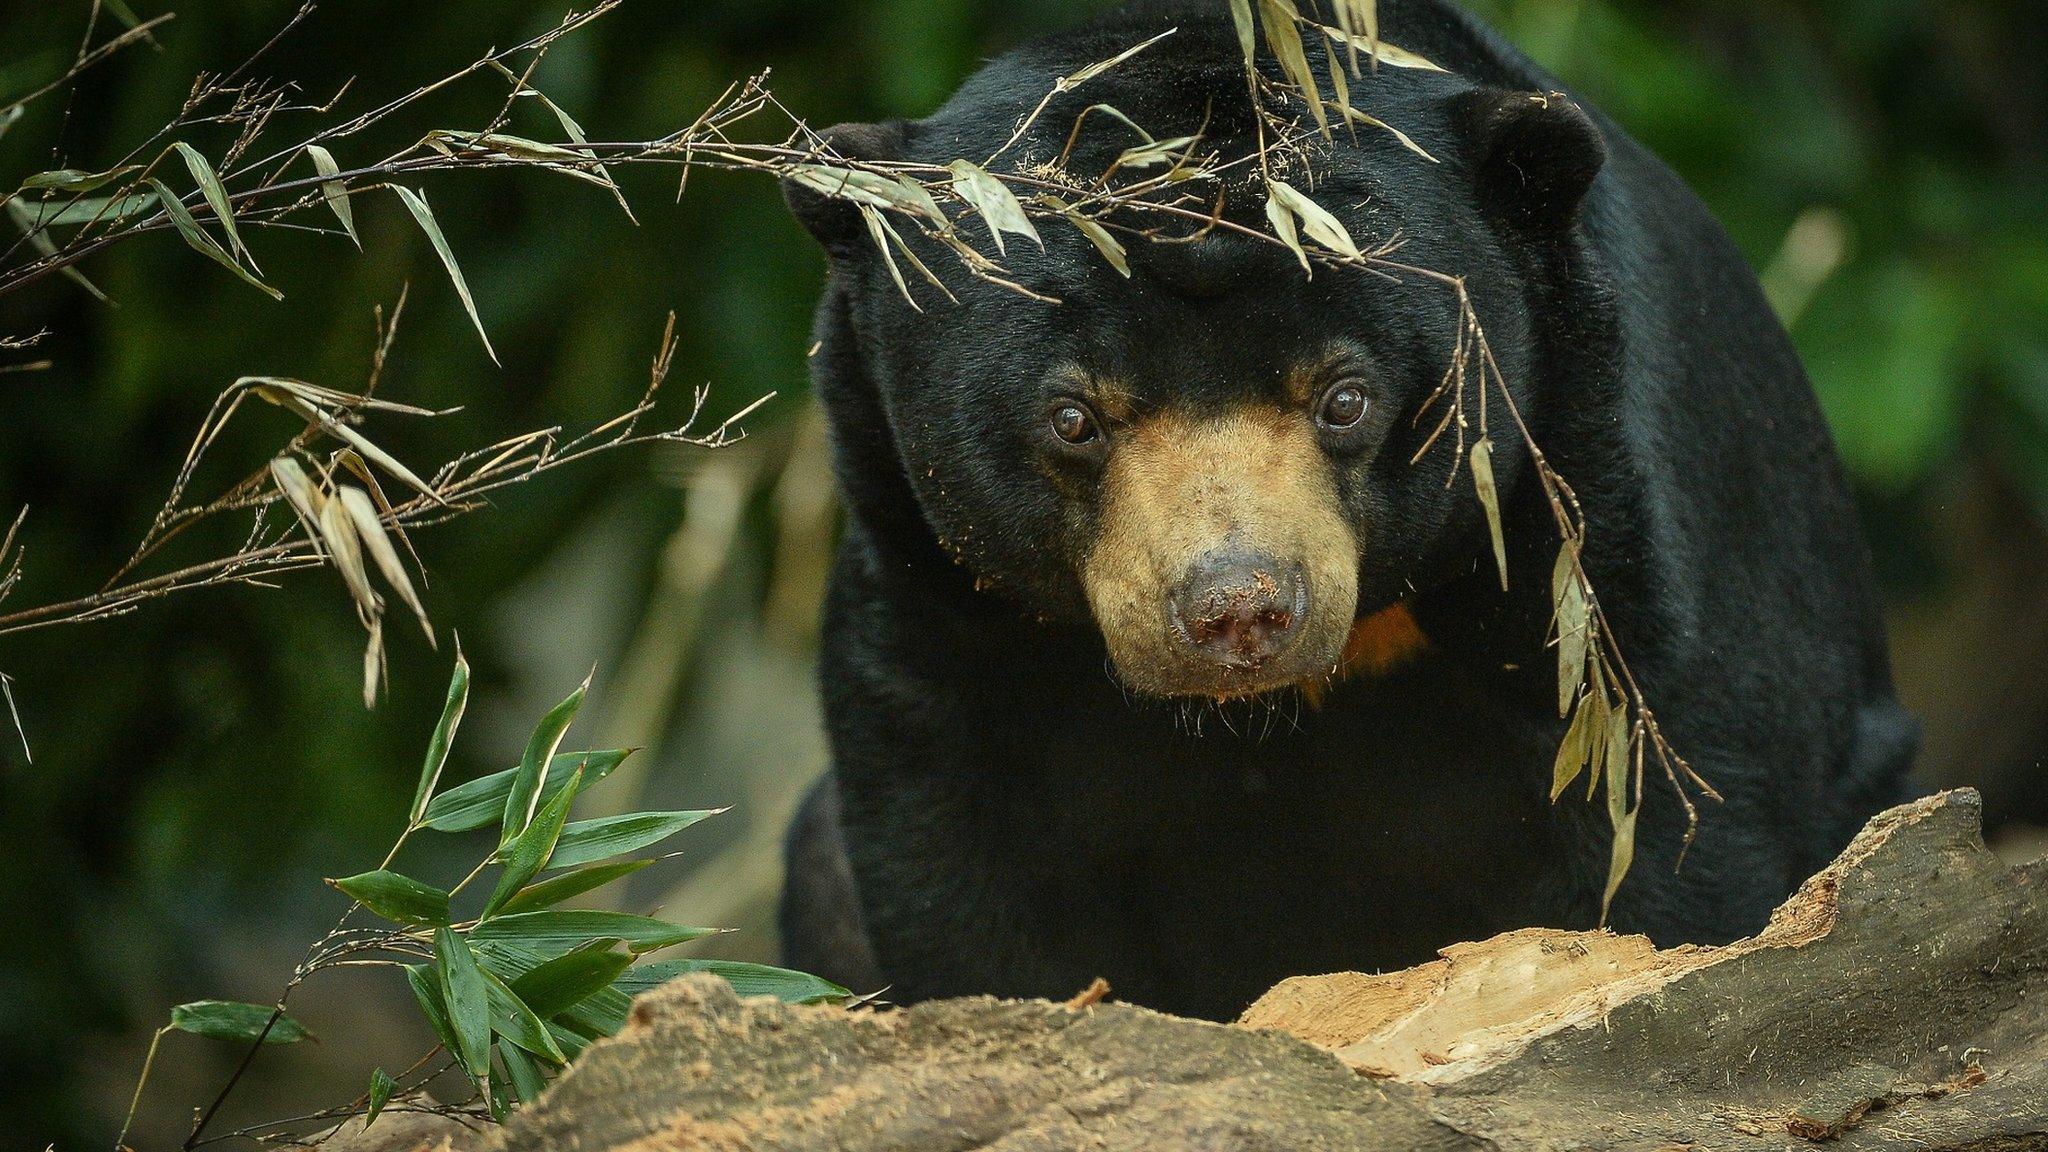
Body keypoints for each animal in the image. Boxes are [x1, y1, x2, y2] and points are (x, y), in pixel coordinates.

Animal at [770, 0, 1916, 1012]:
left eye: (1343, 397)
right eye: (1074, 417)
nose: (1237, 611)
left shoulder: (1600, 516)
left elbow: (1665, 799)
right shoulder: (938, 600)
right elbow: (962, 857)